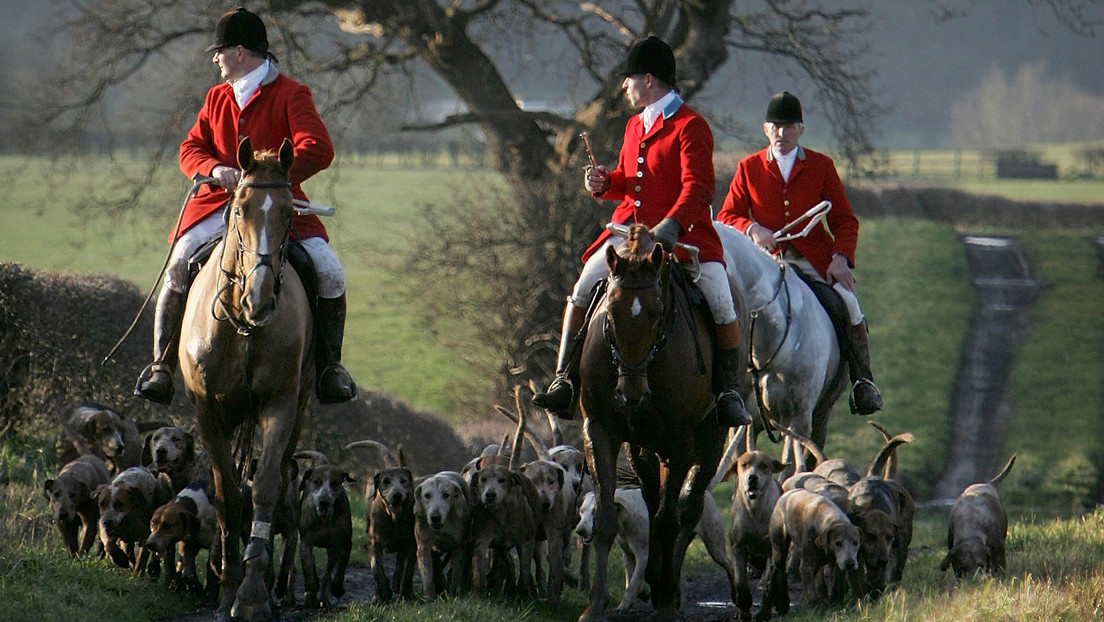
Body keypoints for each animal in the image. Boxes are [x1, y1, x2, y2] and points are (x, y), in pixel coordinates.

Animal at [178, 138, 313, 618]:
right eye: (239, 208)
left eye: (289, 213)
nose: (261, 299)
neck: (245, 325)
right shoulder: (209, 412)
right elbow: (228, 494)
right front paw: (227, 586)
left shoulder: (280, 406)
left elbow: (264, 489)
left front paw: (253, 593)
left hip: (299, 406)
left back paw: (274, 583)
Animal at [578, 225, 733, 622]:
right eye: (610, 312)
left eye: (656, 313)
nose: (629, 392)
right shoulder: (600, 429)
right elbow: (605, 517)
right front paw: (595, 605)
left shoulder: (680, 442)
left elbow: (667, 521)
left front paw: (664, 599)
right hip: (643, 447)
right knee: (652, 500)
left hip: (709, 438)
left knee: (687, 511)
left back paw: (669, 589)